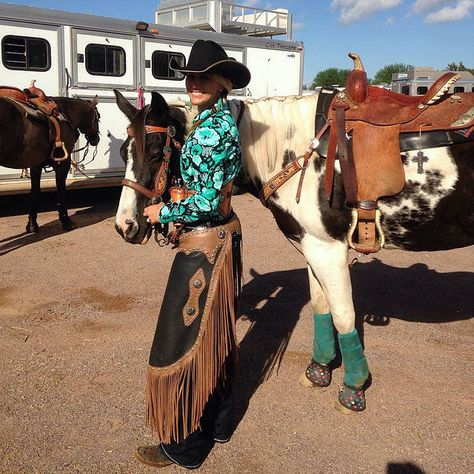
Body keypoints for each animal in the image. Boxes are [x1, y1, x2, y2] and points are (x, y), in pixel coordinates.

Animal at [0, 86, 99, 233]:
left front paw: (32, 225)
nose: (95, 139)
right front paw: (66, 221)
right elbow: (61, 190)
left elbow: (34, 193)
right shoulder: (62, 163)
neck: (65, 115)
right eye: (99, 118)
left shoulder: (36, 165)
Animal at [113, 60, 472, 414]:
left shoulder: (329, 249)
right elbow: (321, 307)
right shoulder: (313, 246)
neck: (301, 152)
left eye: (155, 153)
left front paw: (353, 389)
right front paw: (320, 370)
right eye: (122, 150)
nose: (125, 225)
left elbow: (343, 315)